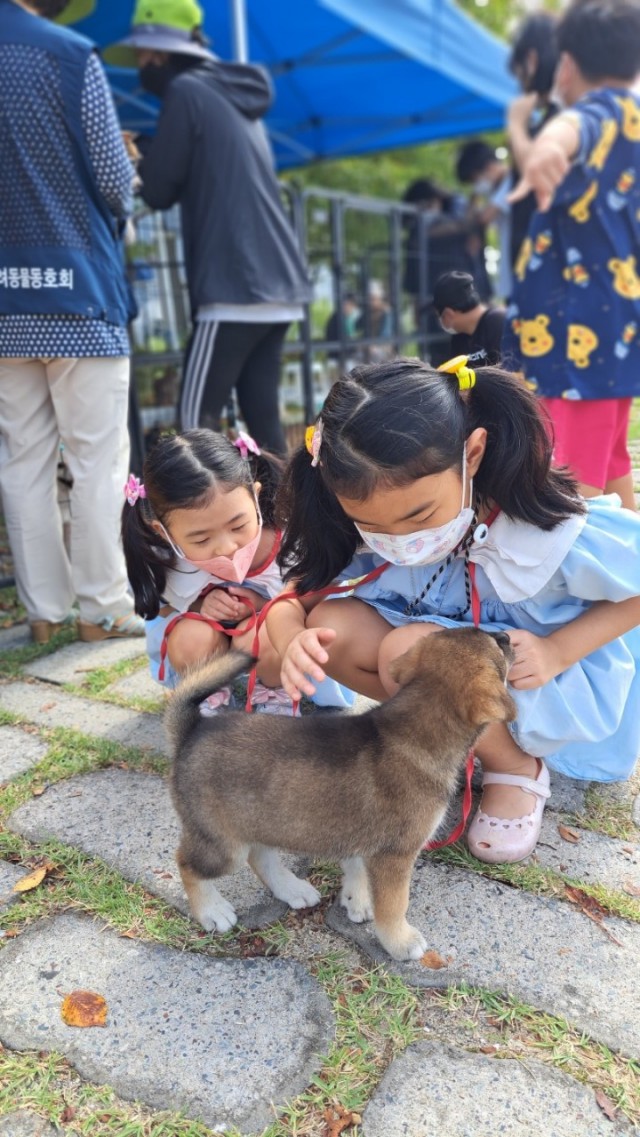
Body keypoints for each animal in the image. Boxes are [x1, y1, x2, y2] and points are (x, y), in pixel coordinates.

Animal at [163, 627, 516, 964]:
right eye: (497, 646)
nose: (508, 635)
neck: (414, 728)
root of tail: (192, 730)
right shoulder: (395, 855)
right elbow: (394, 905)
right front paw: (399, 941)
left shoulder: (364, 838)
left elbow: (357, 868)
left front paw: (357, 899)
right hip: (223, 845)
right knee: (187, 864)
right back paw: (212, 911)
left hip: (261, 820)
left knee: (260, 857)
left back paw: (291, 889)